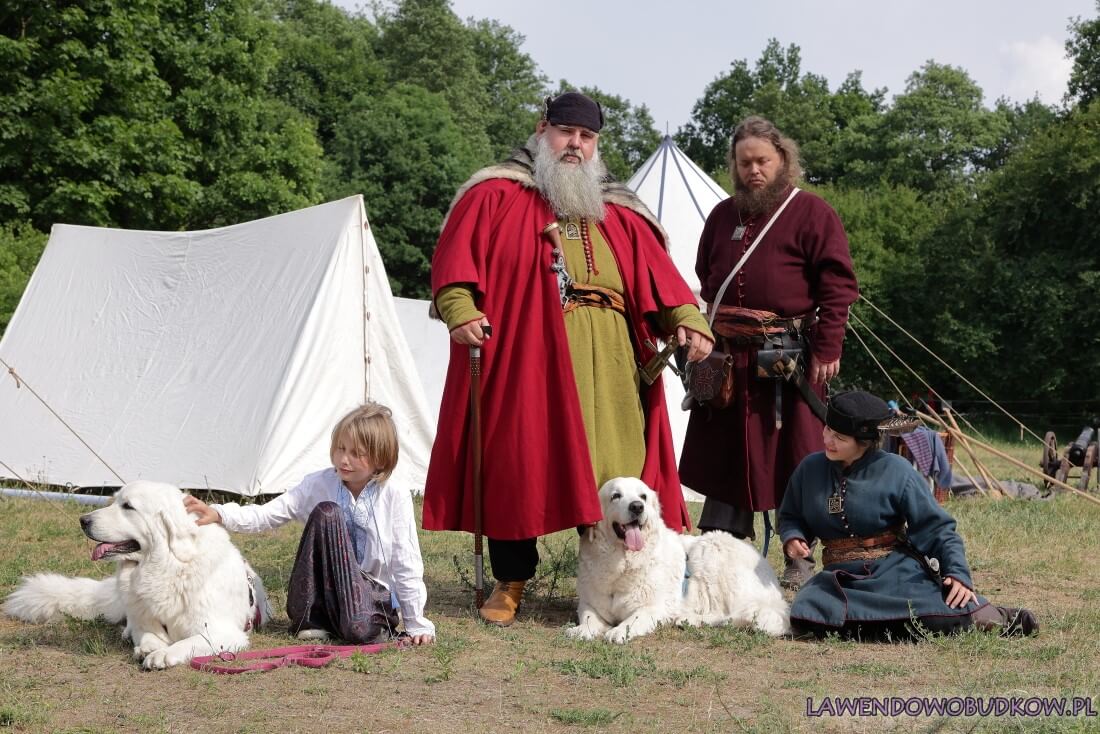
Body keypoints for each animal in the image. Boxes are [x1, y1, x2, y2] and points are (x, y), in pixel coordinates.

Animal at [3, 481, 269, 673]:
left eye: (128, 506)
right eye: (115, 501)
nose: (83, 520)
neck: (166, 567)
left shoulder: (223, 633)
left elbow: (189, 642)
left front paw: (163, 654)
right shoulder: (144, 619)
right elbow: (148, 634)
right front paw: (150, 647)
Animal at [567, 477, 792, 642]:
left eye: (643, 496)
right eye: (616, 496)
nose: (637, 507)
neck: (623, 563)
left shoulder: (656, 606)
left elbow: (636, 617)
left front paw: (619, 631)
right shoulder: (588, 603)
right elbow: (588, 616)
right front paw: (583, 630)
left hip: (710, 549)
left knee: (732, 614)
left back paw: (689, 618)